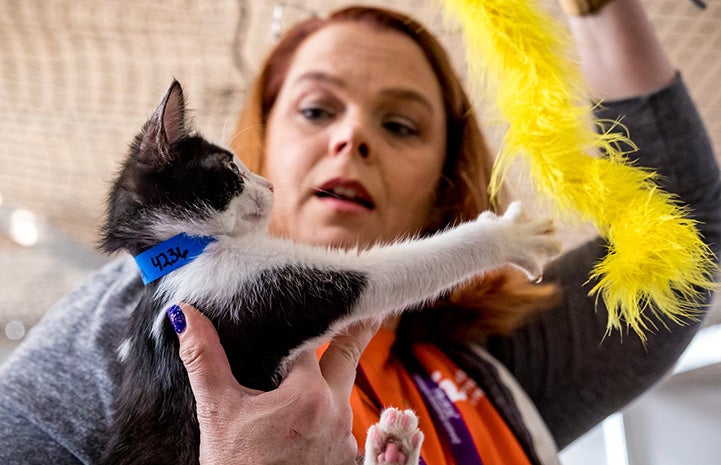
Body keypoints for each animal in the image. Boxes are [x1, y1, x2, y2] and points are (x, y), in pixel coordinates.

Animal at [98, 80, 560, 464]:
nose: (269, 185)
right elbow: (398, 266)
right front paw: (512, 237)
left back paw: (392, 446)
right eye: (231, 169)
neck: (180, 256)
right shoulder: (248, 296)